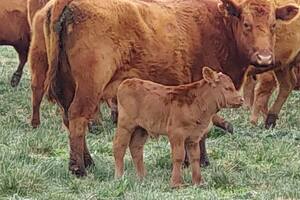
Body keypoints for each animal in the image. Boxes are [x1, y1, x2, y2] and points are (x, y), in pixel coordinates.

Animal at [113, 67, 244, 188]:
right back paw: (119, 177)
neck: (198, 102)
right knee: (119, 147)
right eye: (227, 88)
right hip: (125, 125)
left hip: (141, 129)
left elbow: (195, 157)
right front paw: (176, 183)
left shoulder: (194, 137)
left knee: (136, 148)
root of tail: (128, 82)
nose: (241, 99)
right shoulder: (176, 134)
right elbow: (178, 156)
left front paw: (198, 182)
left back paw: (142, 177)